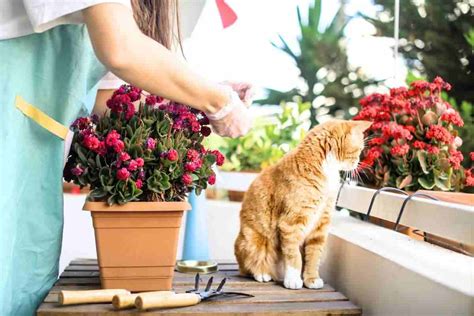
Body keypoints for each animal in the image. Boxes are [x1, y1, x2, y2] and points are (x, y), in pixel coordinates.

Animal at [235, 119, 372, 288]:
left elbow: (313, 257)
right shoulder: (291, 223)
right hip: (253, 241)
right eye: (359, 149)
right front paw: (293, 279)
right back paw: (262, 273)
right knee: (250, 264)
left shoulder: (320, 225)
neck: (325, 169)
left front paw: (311, 279)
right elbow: (294, 256)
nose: (358, 162)